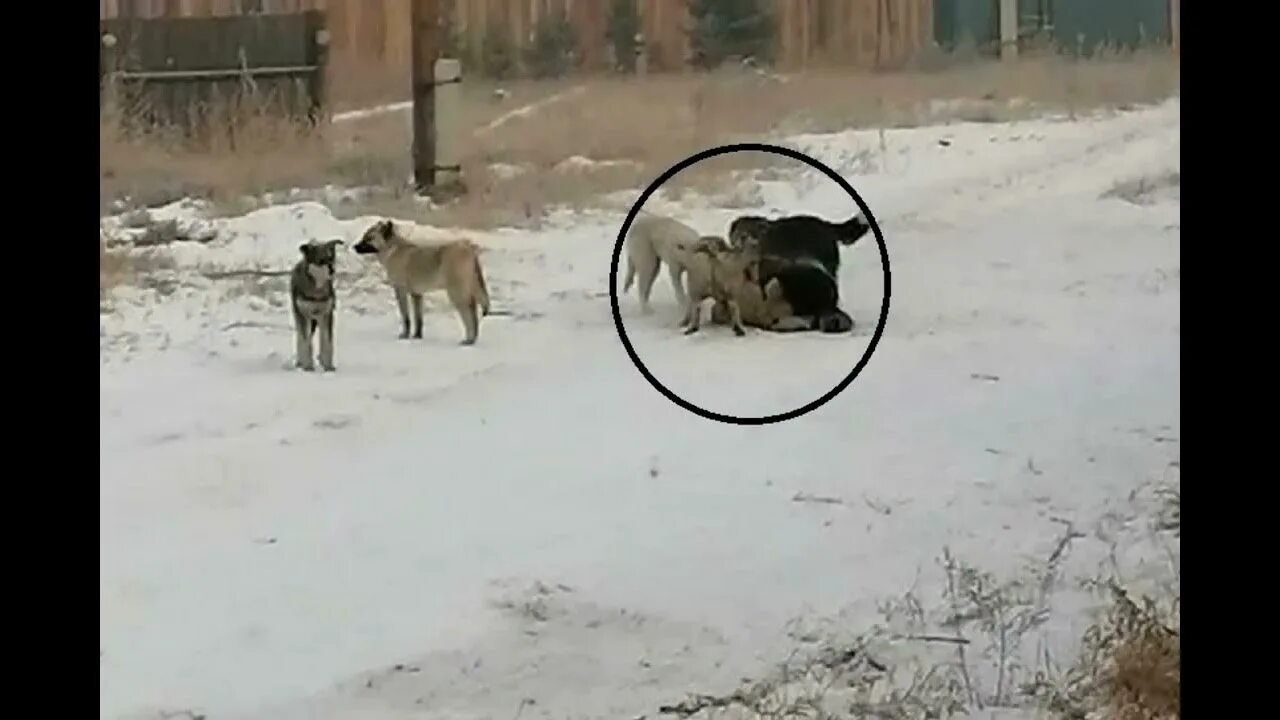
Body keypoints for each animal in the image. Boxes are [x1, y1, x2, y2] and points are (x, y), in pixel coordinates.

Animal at [291, 238, 345, 368]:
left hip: (318, 319)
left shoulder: (327, 314)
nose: (332, 270)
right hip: (301, 315)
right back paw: (300, 362)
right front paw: (307, 365)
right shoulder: (303, 314)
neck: (317, 291)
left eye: (331, 258)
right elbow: (305, 342)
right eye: (321, 261)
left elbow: (327, 342)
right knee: (301, 338)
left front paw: (328, 366)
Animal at [353, 217, 491, 343]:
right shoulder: (417, 294)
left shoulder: (400, 291)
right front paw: (417, 336)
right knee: (473, 310)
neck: (392, 249)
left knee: (469, 314)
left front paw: (405, 335)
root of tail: (469, 250)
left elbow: (406, 317)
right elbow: (418, 319)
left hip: (456, 292)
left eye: (369, 238)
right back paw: (473, 338)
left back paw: (469, 339)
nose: (354, 247)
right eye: (365, 236)